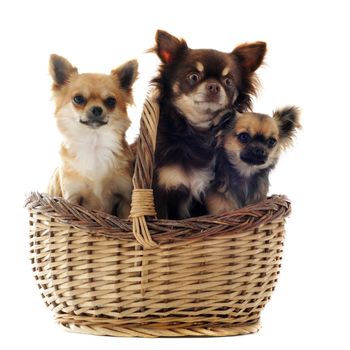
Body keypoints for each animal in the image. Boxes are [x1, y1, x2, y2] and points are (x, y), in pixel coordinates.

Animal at [47, 54, 137, 217]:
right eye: (78, 99)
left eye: (111, 101)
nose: (96, 109)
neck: (93, 142)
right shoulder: (72, 198)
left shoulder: (125, 199)